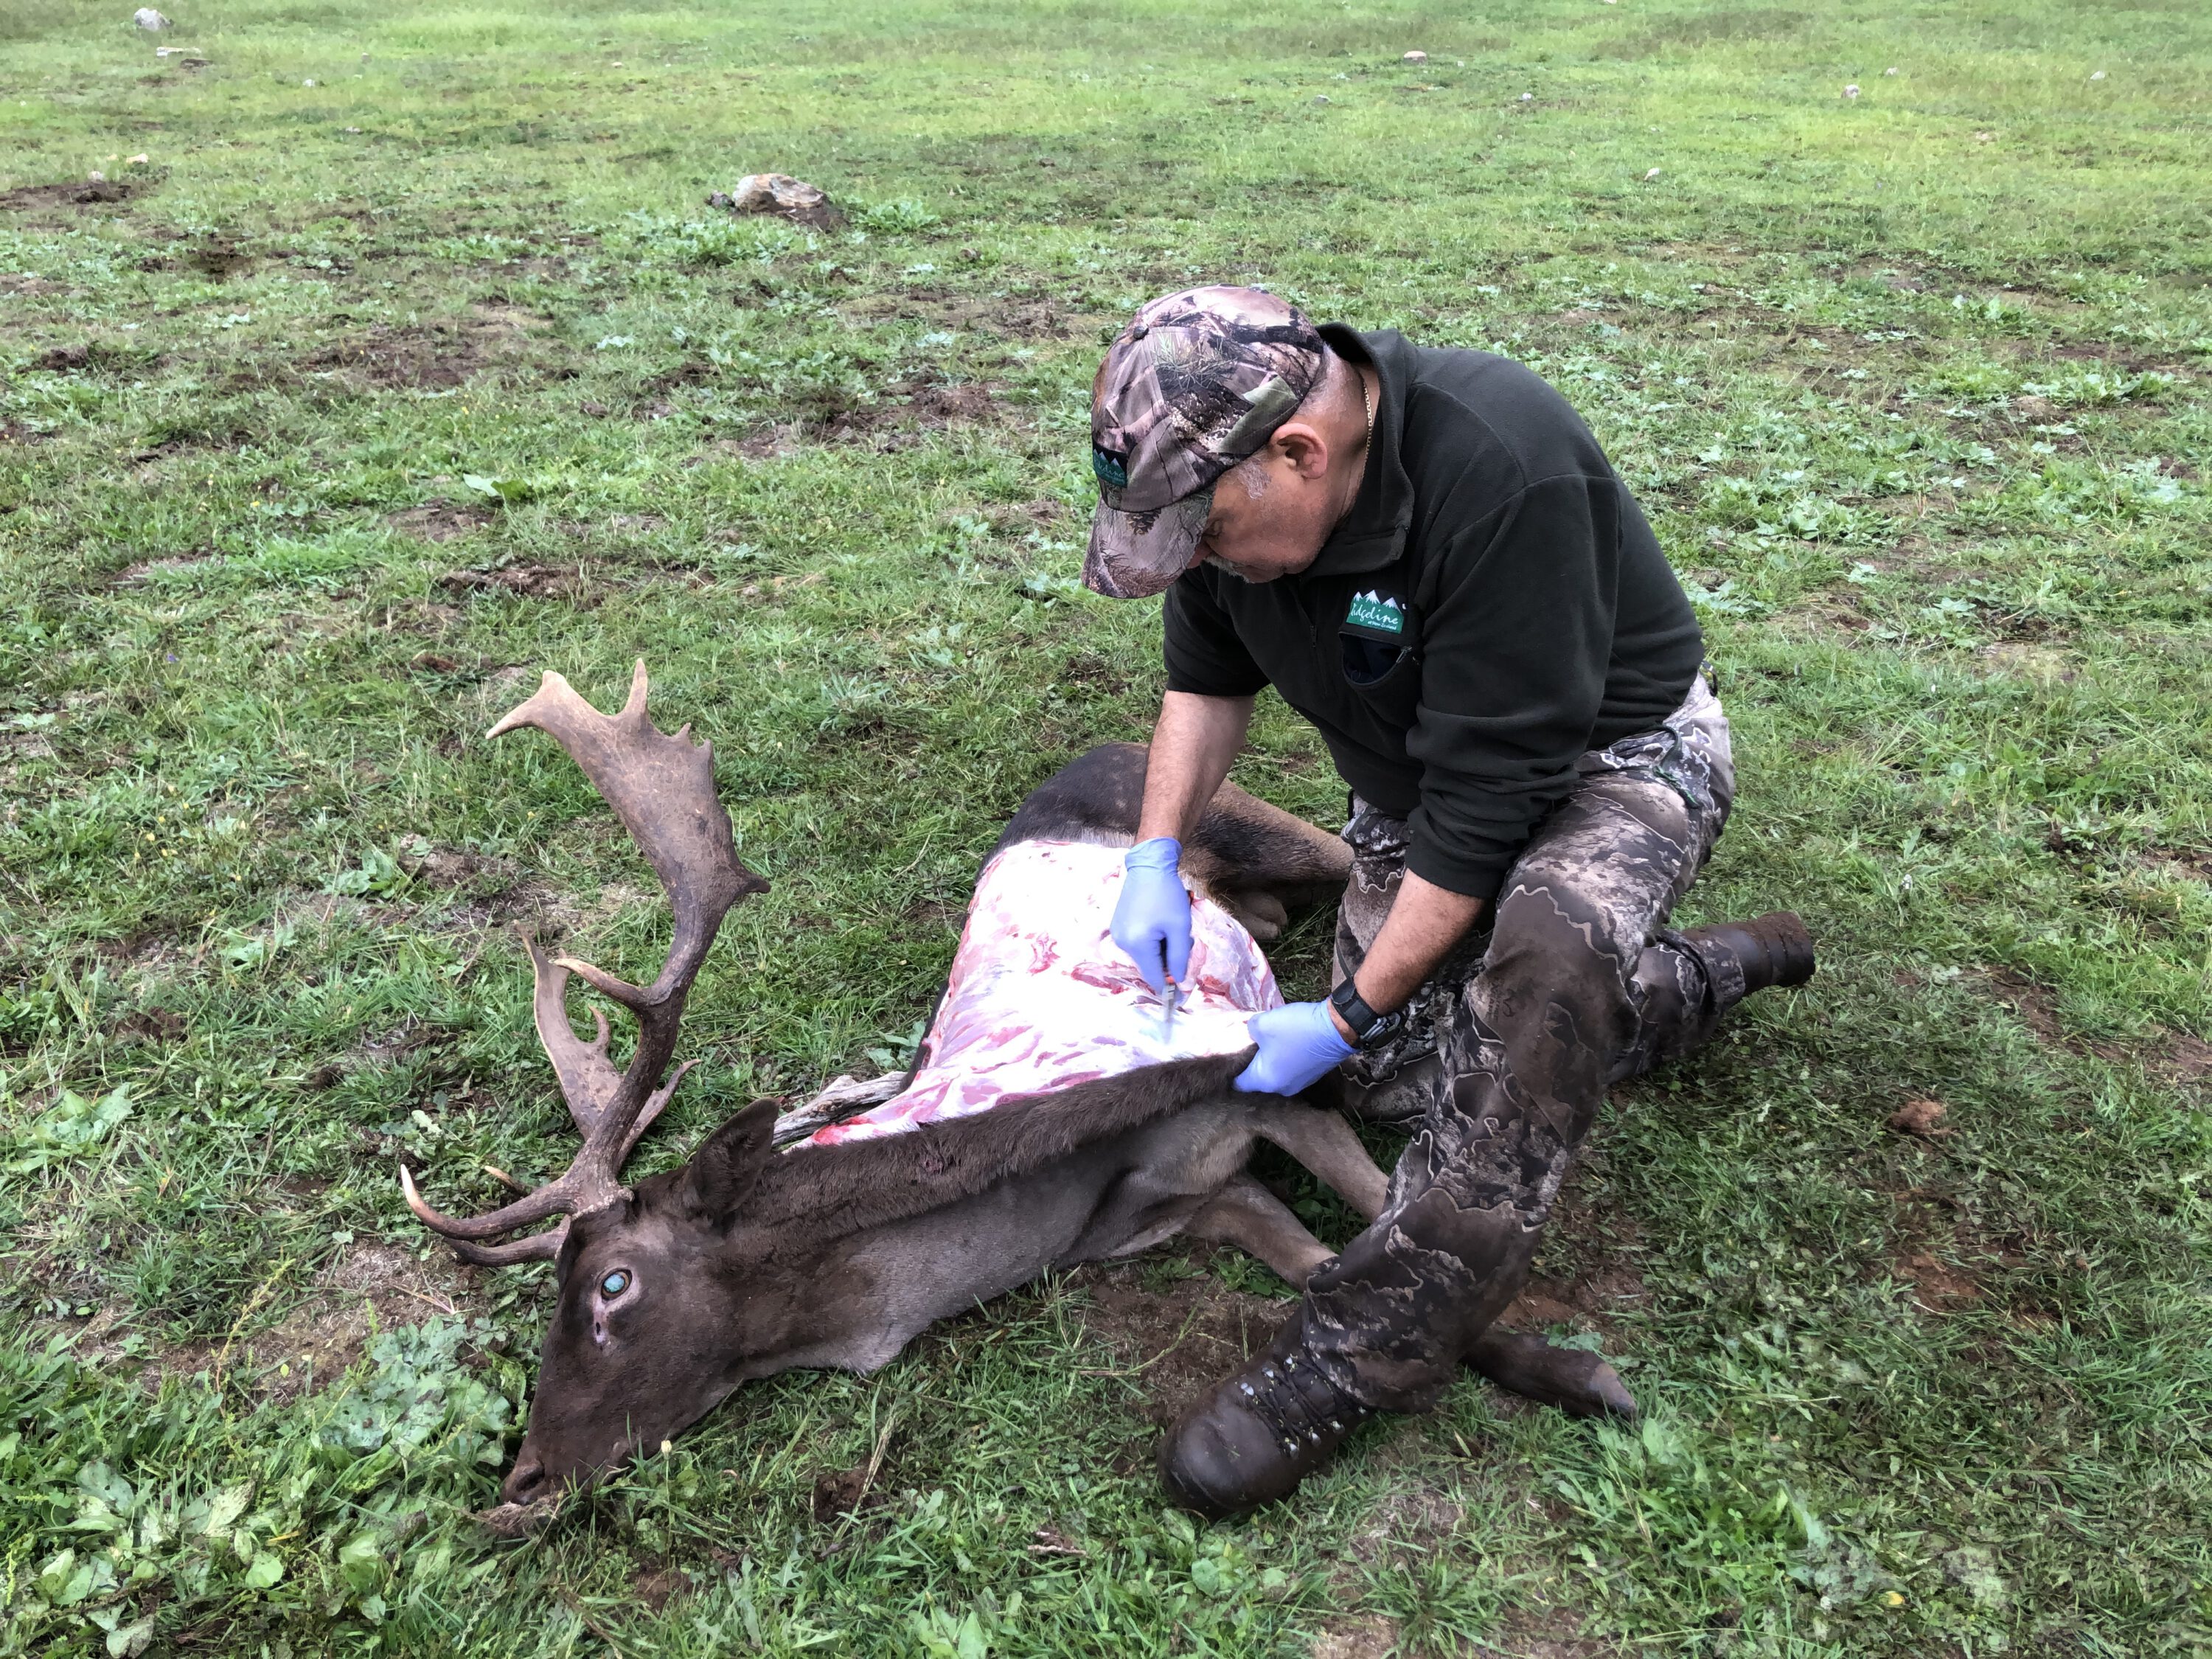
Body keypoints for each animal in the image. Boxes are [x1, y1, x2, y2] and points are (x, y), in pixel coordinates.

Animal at [407, 668, 1637, 1531]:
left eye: (613, 1283)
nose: (523, 1477)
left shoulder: (1272, 1083)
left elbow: (1397, 1220)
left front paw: (1584, 1372)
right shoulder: (1192, 1205)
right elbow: (1325, 1264)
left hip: (1286, 829)